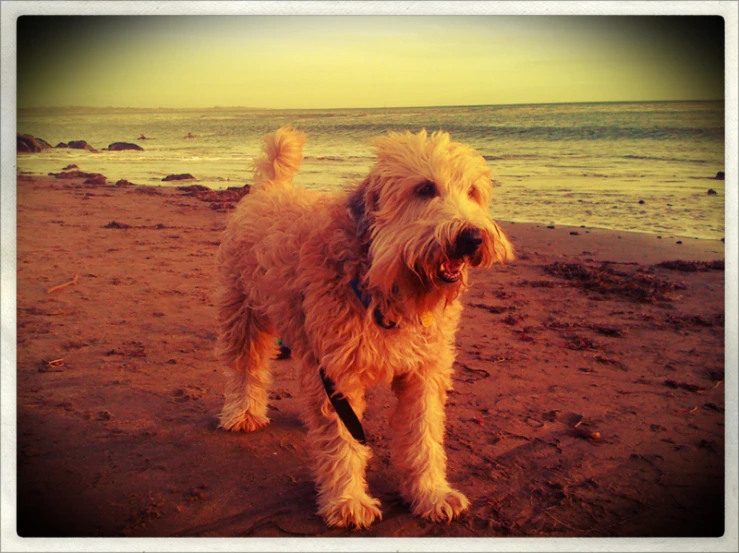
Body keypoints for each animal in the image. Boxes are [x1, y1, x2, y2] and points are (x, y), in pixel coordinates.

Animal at [217, 127, 512, 528]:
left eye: (473, 192)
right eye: (424, 189)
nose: (472, 237)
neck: (388, 286)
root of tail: (270, 187)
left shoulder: (424, 373)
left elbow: (423, 433)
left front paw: (430, 493)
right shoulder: (338, 372)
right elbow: (343, 440)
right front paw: (348, 500)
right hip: (242, 313)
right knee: (244, 366)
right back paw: (242, 412)